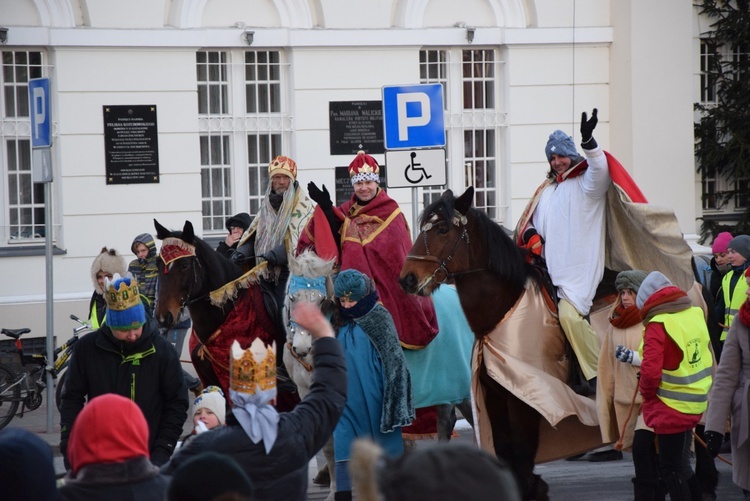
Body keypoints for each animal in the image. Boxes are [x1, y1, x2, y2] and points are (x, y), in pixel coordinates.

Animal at [400, 188, 604, 500]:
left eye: (443, 229)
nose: (407, 279)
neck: (505, 309)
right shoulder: (495, 398)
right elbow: (508, 456)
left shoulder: (524, 401)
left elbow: (521, 457)